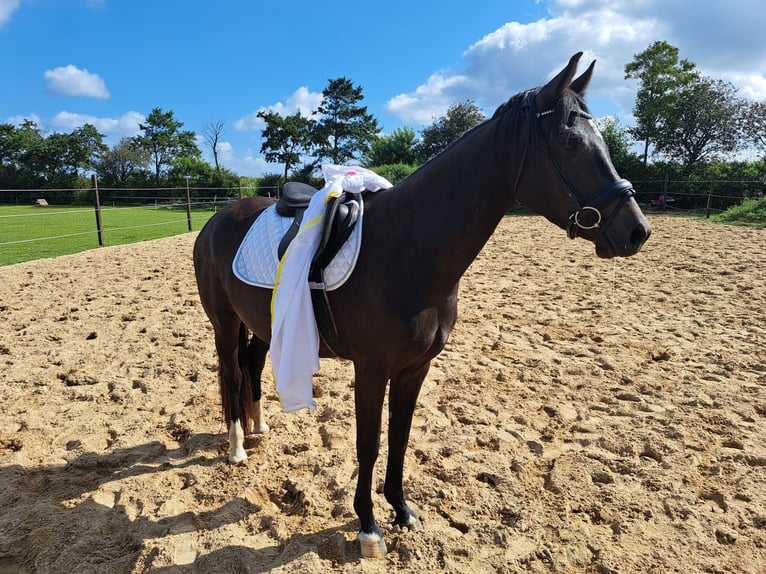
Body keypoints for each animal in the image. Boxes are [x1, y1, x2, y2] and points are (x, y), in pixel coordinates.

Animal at [194, 53, 656, 560]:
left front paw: (402, 511)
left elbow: (400, 438)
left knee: (253, 366)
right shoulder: (371, 369)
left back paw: (258, 428)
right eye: (571, 142)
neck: (408, 247)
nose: (636, 231)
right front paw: (368, 527)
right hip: (224, 323)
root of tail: (216, 219)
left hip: (262, 323)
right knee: (232, 373)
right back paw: (237, 445)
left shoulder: (415, 367)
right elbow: (369, 444)